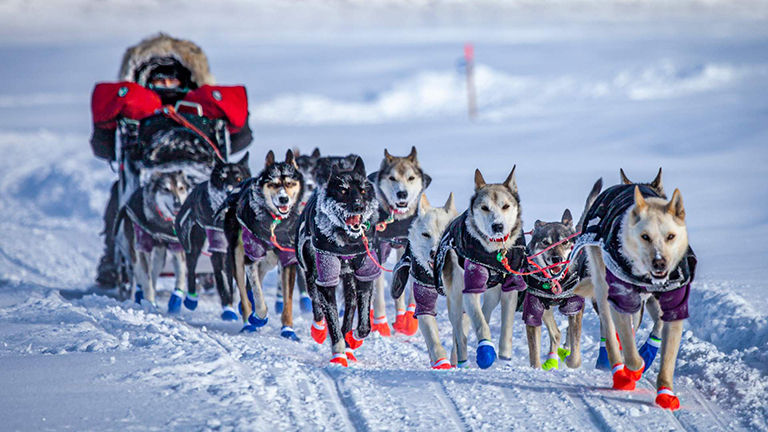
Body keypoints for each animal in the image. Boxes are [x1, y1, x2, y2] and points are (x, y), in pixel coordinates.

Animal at [176, 154, 250, 318]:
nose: (229, 192)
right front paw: (228, 308)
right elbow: (224, 280)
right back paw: (191, 298)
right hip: (195, 242)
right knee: (191, 267)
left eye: (238, 178)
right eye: (222, 178)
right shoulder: (219, 249)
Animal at [220, 150, 304, 340]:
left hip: (268, 263)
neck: (275, 222)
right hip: (237, 256)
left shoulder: (288, 261)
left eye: (289, 183)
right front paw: (258, 316)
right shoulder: (251, 258)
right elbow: (258, 296)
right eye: (273, 184)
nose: (283, 199)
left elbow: (287, 302)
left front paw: (288, 329)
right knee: (245, 294)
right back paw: (248, 322)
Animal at [294, 157, 380, 366]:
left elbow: (364, 325)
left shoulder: (364, 276)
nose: (358, 207)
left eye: (363, 190)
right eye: (343, 190)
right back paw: (318, 329)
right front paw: (339, 353)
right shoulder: (326, 278)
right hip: (311, 273)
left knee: (349, 308)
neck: (347, 241)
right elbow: (331, 319)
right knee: (316, 302)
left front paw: (352, 340)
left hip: (349, 284)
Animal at [436, 168, 532, 368]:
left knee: (485, 312)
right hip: (455, 297)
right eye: (485, 208)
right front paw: (485, 350)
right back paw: (463, 358)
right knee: (461, 331)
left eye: (506, 206)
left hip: (492, 294)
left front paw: (504, 355)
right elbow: (480, 324)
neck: (496, 251)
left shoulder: (510, 286)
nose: (498, 226)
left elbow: (506, 325)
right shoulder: (471, 286)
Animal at [576, 174, 696, 410]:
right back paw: (619, 371)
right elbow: (631, 354)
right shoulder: (622, 299)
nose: (660, 263)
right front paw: (634, 370)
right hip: (603, 288)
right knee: (611, 334)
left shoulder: (673, 303)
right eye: (645, 237)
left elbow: (667, 355)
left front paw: (665, 392)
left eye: (671, 236)